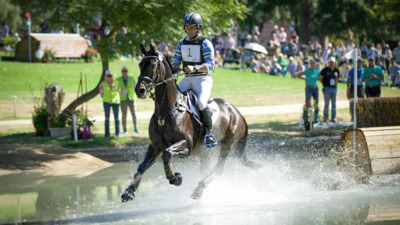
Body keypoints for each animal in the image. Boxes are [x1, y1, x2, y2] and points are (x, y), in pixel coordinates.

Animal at [120, 43, 258, 202]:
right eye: (140, 64)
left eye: (153, 65)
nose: (140, 90)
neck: (167, 110)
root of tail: (238, 113)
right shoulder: (156, 146)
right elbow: (142, 166)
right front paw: (129, 191)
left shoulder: (186, 145)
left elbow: (167, 154)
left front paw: (175, 178)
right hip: (205, 153)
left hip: (228, 144)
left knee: (219, 169)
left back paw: (199, 189)